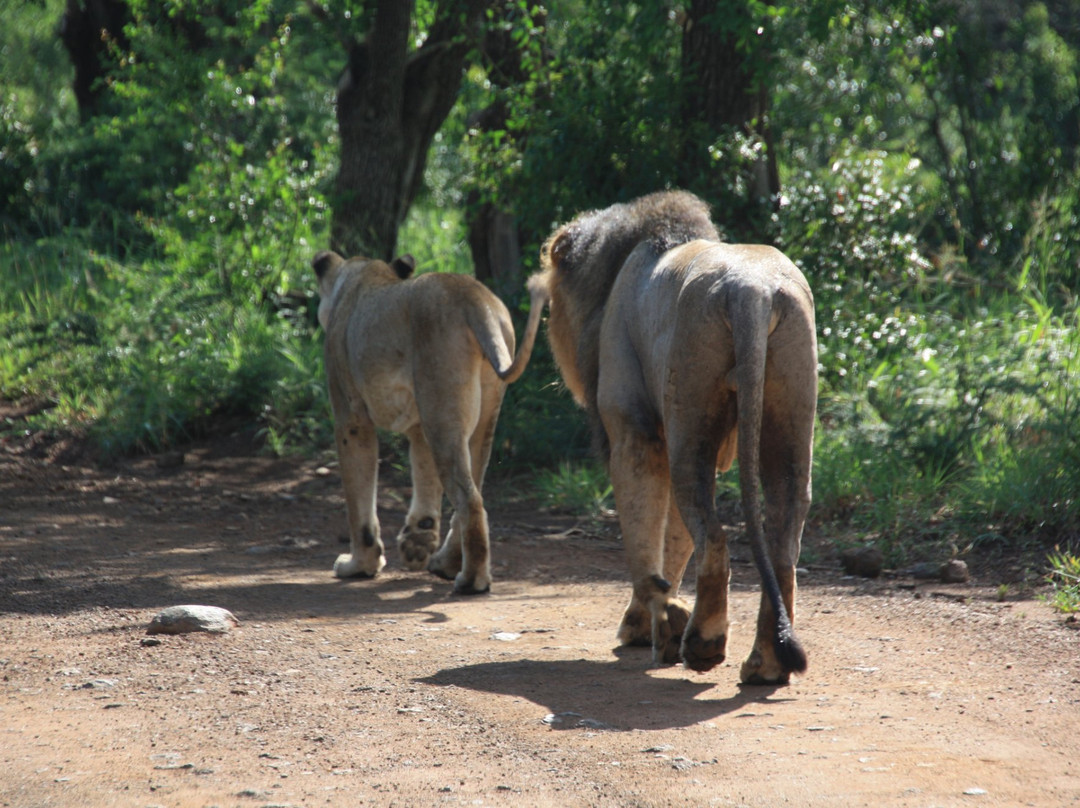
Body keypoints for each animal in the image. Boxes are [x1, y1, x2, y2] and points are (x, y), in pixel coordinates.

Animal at [315, 247, 544, 591]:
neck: (364, 276)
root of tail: (472, 296)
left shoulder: (351, 419)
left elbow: (359, 500)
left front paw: (359, 565)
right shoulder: (419, 425)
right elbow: (424, 474)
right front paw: (417, 539)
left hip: (442, 411)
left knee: (468, 498)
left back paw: (470, 580)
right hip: (477, 415)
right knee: (474, 492)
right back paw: (445, 563)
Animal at [531, 191, 816, 682]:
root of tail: (753, 290)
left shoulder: (633, 425)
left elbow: (646, 529)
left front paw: (646, 623)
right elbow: (675, 538)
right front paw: (659, 617)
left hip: (691, 402)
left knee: (712, 535)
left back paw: (703, 642)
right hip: (792, 394)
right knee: (782, 541)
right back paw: (764, 665)